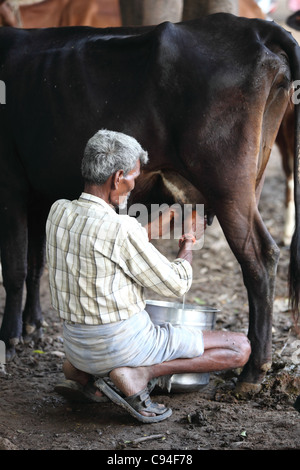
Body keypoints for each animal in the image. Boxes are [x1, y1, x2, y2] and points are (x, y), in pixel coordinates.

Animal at [0, 12, 300, 392]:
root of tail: (257, 28)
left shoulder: (9, 183)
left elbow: (14, 267)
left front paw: (9, 338)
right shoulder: (39, 193)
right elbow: (36, 263)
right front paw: (32, 327)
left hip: (228, 185)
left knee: (259, 257)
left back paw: (252, 371)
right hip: (253, 180)